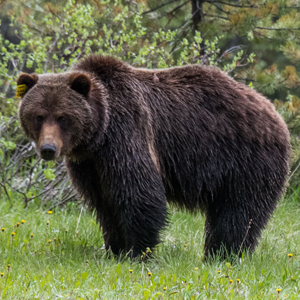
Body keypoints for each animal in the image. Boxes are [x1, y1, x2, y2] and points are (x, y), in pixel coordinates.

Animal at [17, 55, 290, 258]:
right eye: (38, 115)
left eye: (63, 117)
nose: (49, 149)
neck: (98, 132)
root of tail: (273, 111)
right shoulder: (89, 164)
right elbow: (104, 202)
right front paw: (114, 247)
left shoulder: (127, 132)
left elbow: (139, 192)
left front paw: (138, 251)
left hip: (246, 159)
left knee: (240, 210)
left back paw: (225, 254)